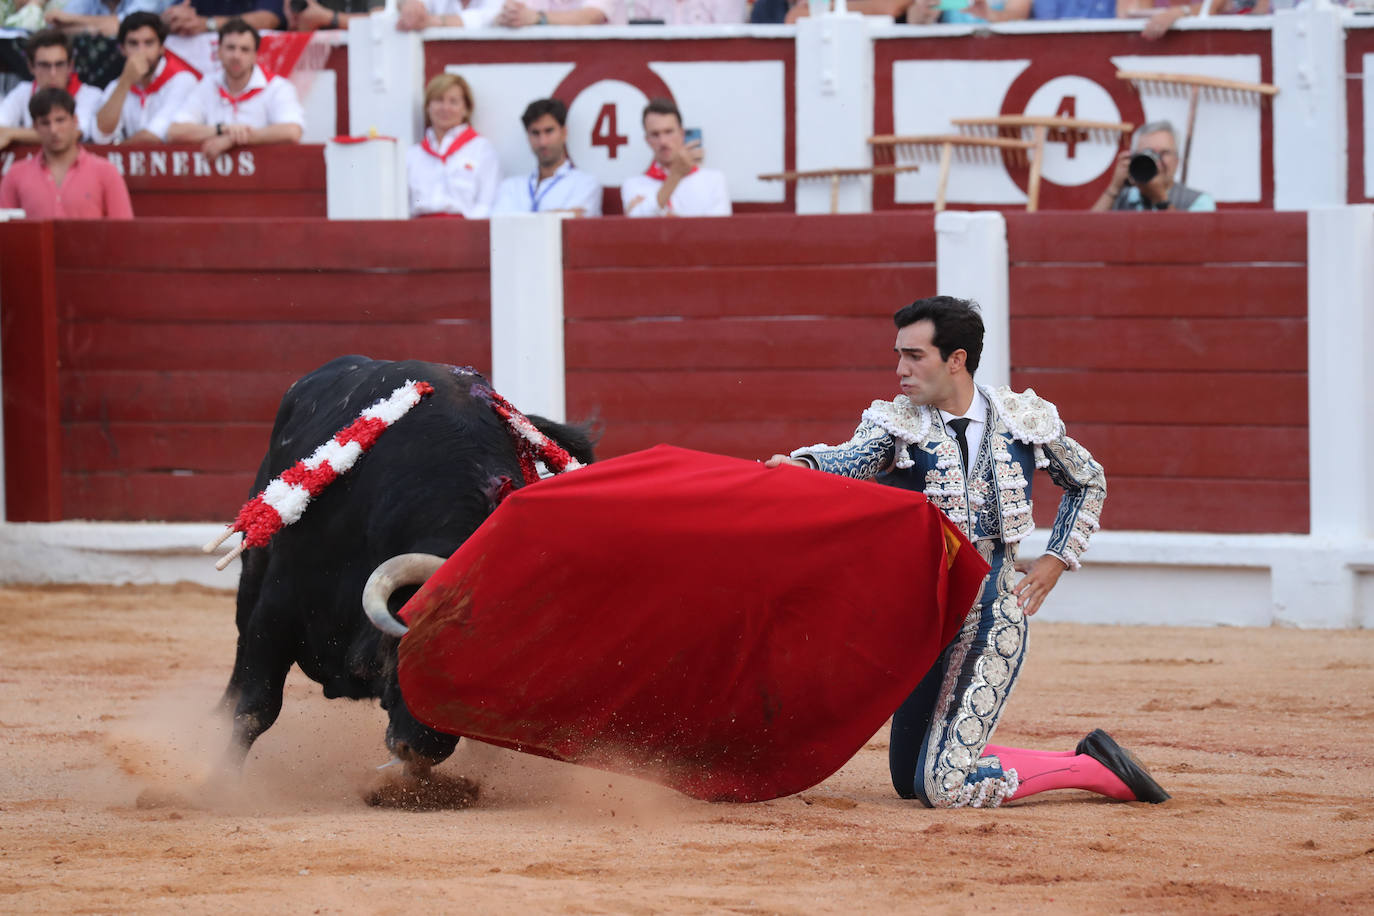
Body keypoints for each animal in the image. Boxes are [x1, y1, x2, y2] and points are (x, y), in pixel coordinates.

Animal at [219, 357, 596, 774]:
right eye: (415, 655)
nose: (422, 749)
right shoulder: (278, 609)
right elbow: (256, 710)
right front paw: (221, 783)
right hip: (253, 567)